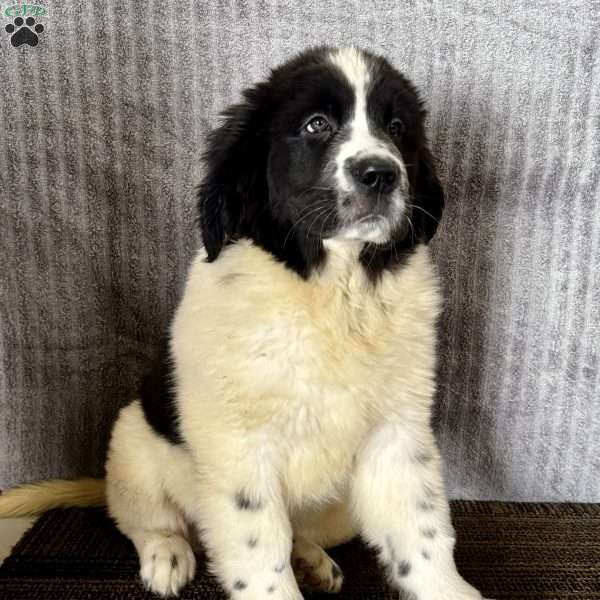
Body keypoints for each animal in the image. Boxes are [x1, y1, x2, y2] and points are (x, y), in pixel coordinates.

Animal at [0, 48, 482, 600]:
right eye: (316, 125)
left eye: (397, 128)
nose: (380, 173)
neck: (331, 290)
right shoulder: (239, 445)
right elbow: (259, 547)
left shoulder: (397, 430)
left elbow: (421, 531)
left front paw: (448, 588)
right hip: (133, 445)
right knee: (146, 518)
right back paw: (167, 553)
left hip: (338, 511)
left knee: (302, 532)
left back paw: (311, 559)